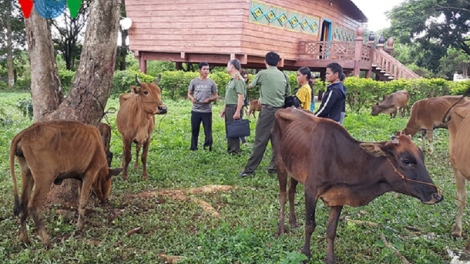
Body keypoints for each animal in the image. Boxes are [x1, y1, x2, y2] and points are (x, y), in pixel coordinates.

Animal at [270, 108, 442, 264]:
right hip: (280, 162)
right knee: (283, 194)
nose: (437, 195)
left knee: (291, 192)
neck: (340, 157)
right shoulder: (311, 191)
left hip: (294, 170)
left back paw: (293, 222)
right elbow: (310, 225)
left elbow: (331, 230)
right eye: (406, 161)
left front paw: (330, 259)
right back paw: (280, 229)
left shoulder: (339, 196)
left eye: (422, 157)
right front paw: (305, 254)